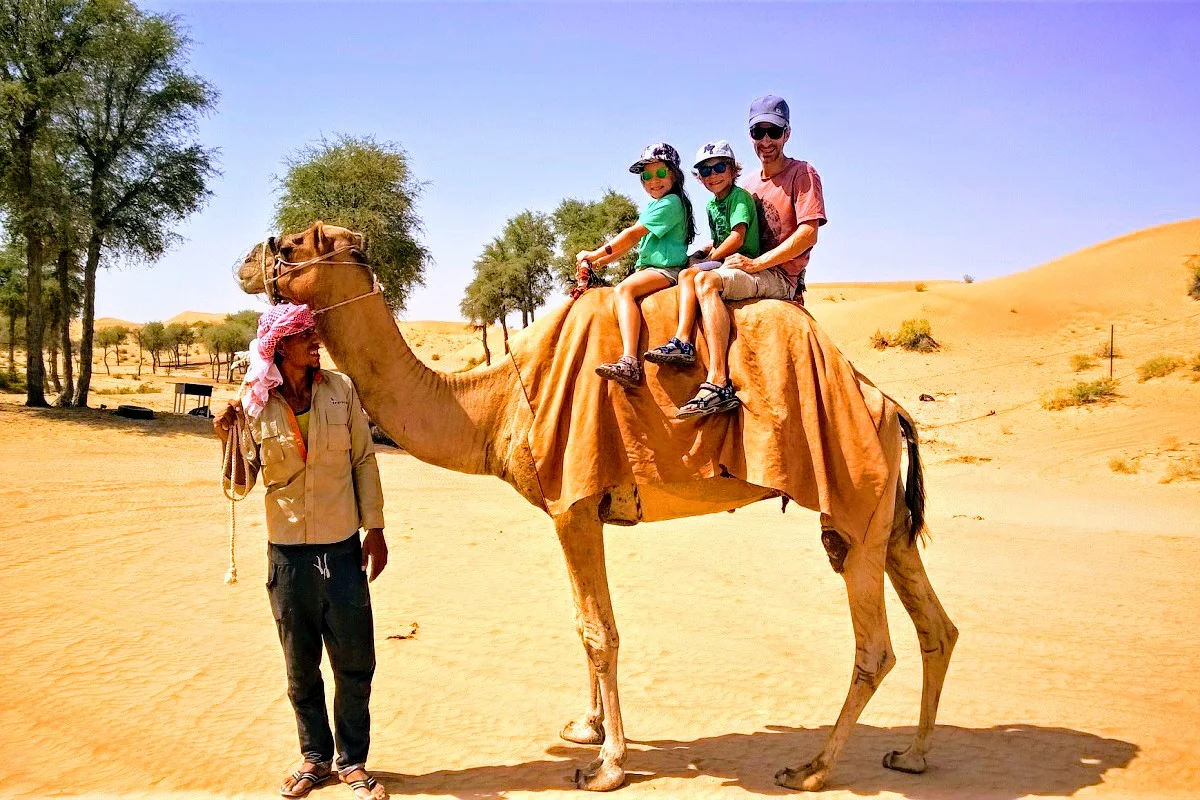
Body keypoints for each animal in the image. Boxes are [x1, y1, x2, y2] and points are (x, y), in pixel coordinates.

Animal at [235, 222, 958, 793]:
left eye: (291, 243)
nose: (245, 262)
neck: (496, 401)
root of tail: (888, 406)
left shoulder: (572, 505)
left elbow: (599, 631)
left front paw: (608, 763)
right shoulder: (581, 508)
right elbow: (584, 624)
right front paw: (586, 728)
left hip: (853, 508)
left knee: (874, 648)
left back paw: (812, 768)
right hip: (886, 520)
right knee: (937, 627)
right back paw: (915, 755)